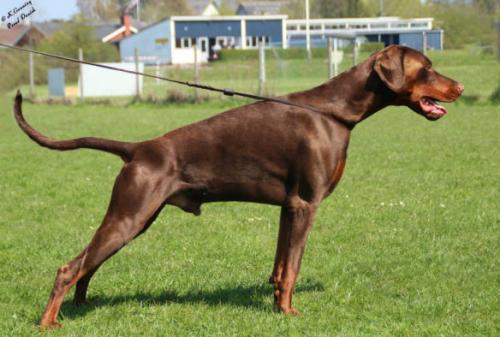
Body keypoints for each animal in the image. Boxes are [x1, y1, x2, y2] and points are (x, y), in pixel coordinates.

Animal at [12, 44, 464, 328]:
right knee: (69, 267)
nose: (460, 87)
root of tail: (139, 148)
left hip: (134, 218)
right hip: (130, 214)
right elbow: (294, 266)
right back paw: (49, 322)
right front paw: (289, 313)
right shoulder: (306, 203)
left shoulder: (288, 206)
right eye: (427, 68)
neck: (334, 112)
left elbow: (281, 265)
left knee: (87, 264)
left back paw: (82, 305)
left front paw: (276, 303)